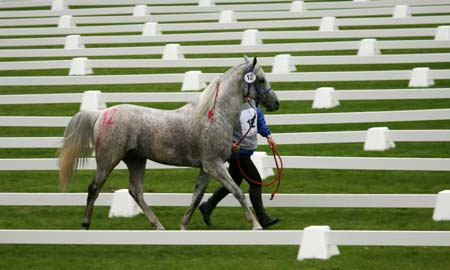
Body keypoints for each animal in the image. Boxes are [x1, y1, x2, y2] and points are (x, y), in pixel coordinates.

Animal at [58, 57, 280, 230]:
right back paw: (85, 224)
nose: (276, 103)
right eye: (261, 79)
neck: (215, 115)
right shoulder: (213, 165)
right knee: (94, 189)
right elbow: (237, 192)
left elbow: (197, 197)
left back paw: (159, 226)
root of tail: (100, 114)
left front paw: (183, 226)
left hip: (136, 160)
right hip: (108, 160)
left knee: (135, 192)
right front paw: (256, 225)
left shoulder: (206, 168)